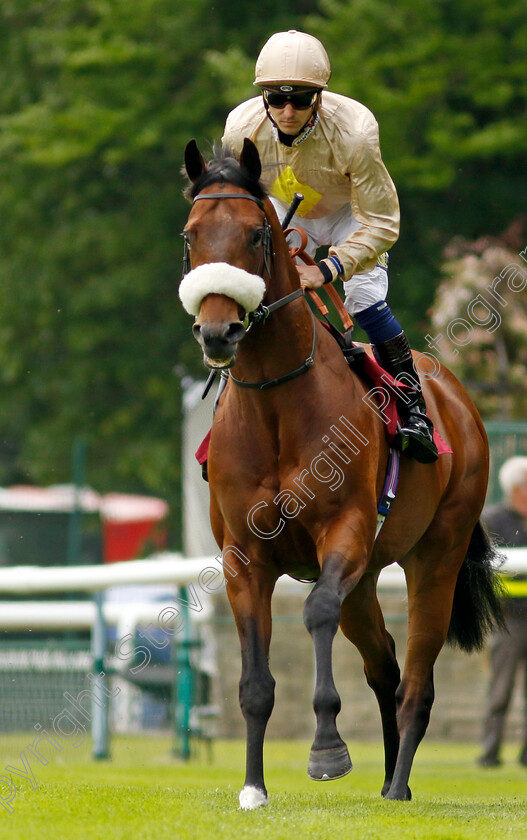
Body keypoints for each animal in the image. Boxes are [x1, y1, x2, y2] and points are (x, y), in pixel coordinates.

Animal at [178, 141, 504, 812]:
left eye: (256, 234)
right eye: (191, 234)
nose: (219, 331)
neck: (277, 406)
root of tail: (456, 398)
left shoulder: (344, 532)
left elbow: (316, 613)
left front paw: (327, 750)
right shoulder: (244, 556)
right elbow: (254, 682)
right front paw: (253, 788)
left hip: (436, 556)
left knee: (416, 677)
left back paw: (399, 783)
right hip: (368, 578)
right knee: (385, 666)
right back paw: (388, 779)